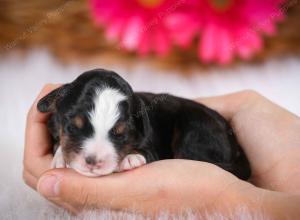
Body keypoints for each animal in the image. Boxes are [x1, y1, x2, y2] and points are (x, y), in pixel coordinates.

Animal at [38, 69, 253, 179]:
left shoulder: (151, 145)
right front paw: (60, 157)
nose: (92, 161)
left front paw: (130, 158)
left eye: (121, 134)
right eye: (72, 128)